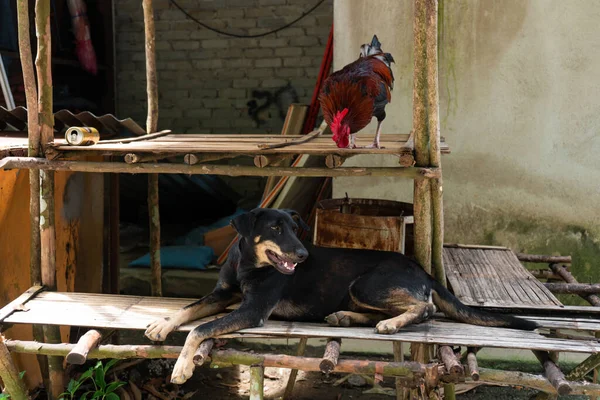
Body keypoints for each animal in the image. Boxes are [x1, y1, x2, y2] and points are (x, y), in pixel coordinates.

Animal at [146, 208, 540, 382]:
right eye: (275, 228)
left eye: (295, 228)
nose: (303, 255)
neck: (248, 264)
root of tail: (421, 268)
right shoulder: (221, 295)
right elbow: (189, 311)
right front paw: (162, 324)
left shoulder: (253, 309)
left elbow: (201, 329)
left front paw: (181, 367)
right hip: (359, 291)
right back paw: (346, 317)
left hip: (365, 284)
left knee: (425, 307)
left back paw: (391, 324)